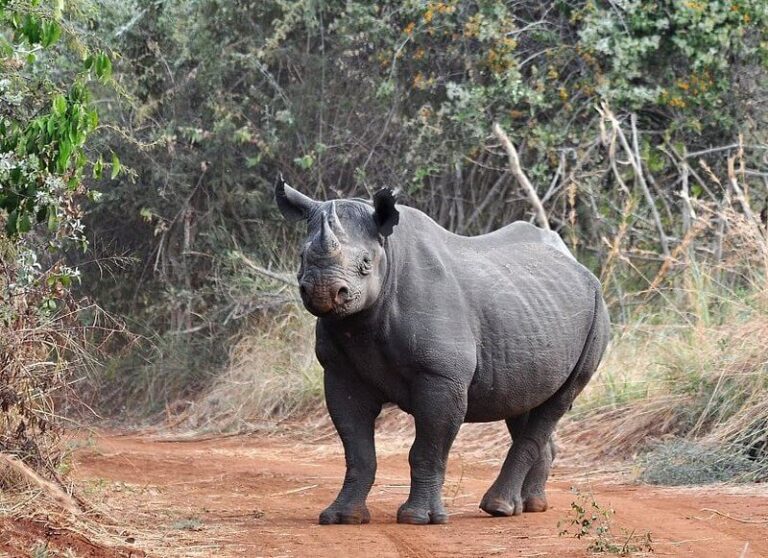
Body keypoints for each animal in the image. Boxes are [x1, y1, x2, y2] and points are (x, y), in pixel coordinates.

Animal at [275, 180, 610, 525]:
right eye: (301, 256)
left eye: (366, 263)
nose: (323, 292)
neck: (388, 253)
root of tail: (578, 265)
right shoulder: (340, 373)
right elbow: (357, 450)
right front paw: (342, 517)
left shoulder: (441, 375)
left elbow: (427, 449)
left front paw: (417, 519)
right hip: (533, 311)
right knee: (525, 399)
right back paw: (527, 506)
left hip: (596, 311)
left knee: (556, 403)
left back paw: (498, 507)